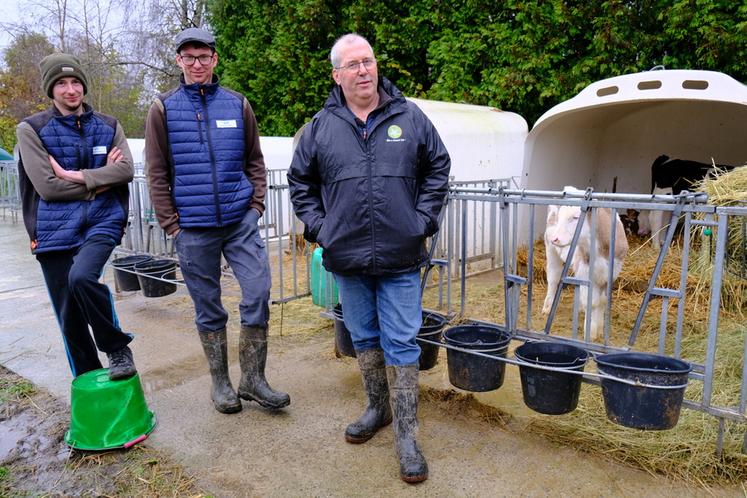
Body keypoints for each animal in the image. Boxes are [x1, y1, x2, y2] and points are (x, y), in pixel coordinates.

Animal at [548, 200, 628, 340]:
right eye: (560, 217)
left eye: (576, 217)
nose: (555, 239)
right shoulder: (584, 272)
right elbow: (591, 302)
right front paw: (590, 331)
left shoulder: (611, 274)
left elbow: (602, 301)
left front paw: (600, 328)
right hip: (552, 252)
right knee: (553, 279)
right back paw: (547, 307)